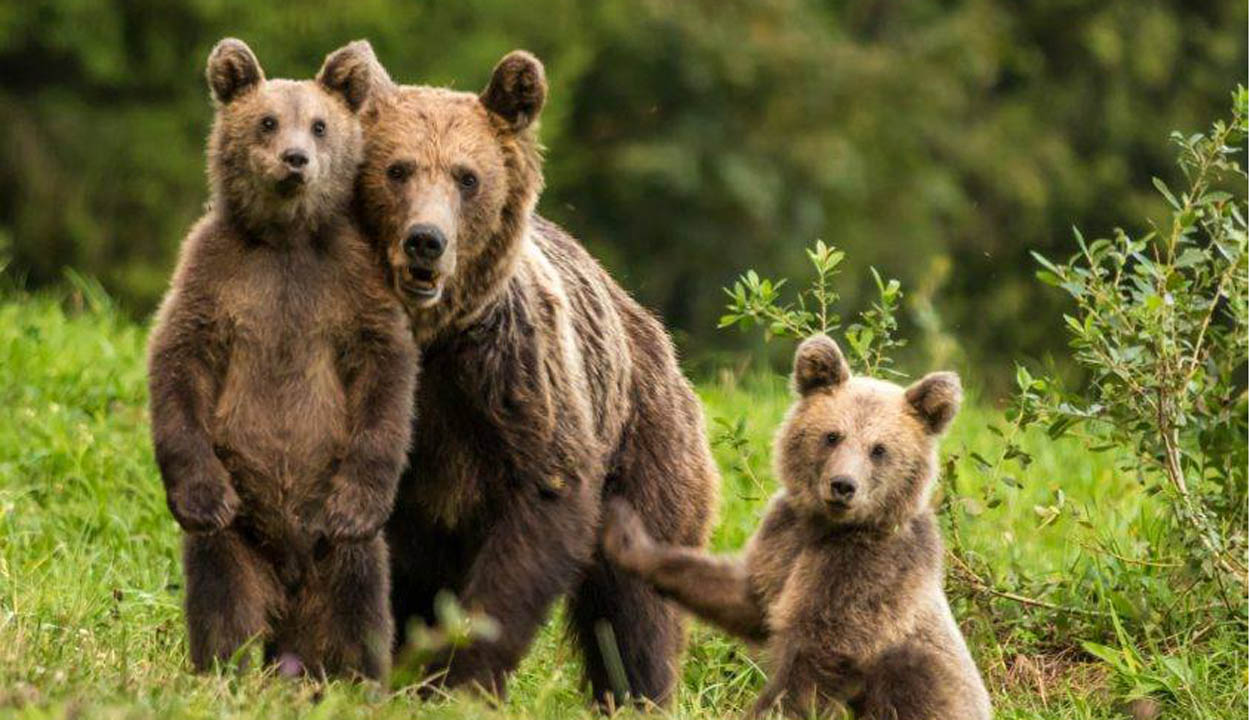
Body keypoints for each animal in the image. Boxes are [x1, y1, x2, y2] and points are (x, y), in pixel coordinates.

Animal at [143, 39, 412, 680]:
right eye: (267, 121)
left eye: (319, 124)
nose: (295, 160)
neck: (287, 240)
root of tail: (290, 589)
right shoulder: (216, 275)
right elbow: (178, 359)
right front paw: (200, 496)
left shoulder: (350, 282)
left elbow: (385, 371)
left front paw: (358, 503)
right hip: (243, 533)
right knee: (223, 593)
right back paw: (227, 667)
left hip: (335, 551)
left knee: (360, 598)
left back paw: (354, 675)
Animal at [337, 42, 720, 705]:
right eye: (398, 168)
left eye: (467, 176)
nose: (426, 241)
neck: (432, 340)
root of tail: (652, 330)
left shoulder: (512, 383)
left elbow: (541, 511)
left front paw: (461, 677)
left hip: (645, 445)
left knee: (633, 606)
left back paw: (636, 692)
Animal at [600, 335, 990, 715]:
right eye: (832, 435)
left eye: (879, 449)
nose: (843, 485)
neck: (827, 526)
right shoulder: (784, 535)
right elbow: (747, 596)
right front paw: (627, 537)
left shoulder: (871, 567)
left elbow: (818, 654)